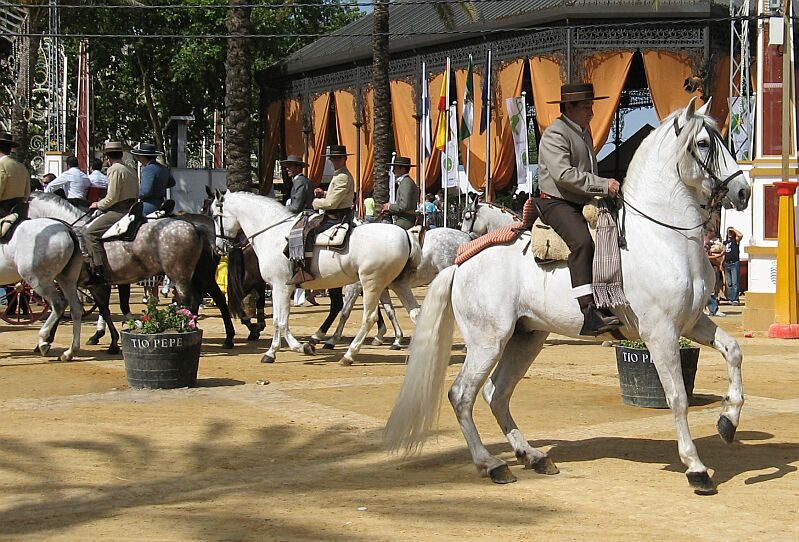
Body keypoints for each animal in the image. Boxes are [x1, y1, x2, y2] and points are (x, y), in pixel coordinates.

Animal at [0, 217, 83, 362]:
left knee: (58, 304)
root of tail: (66, 229)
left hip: (38, 279)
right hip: (67, 280)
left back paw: (43, 341)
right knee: (76, 309)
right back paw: (69, 352)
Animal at [212, 191, 424, 366]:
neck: (273, 235)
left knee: (368, 317)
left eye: (214, 216)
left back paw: (348, 354)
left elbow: (280, 321)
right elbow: (281, 320)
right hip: (395, 284)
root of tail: (405, 234)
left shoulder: (280, 286)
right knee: (414, 313)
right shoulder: (280, 287)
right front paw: (297, 347)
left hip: (371, 283)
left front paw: (281, 350)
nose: (218, 248)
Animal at [386, 99, 752, 498]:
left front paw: (728, 421)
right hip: (488, 341)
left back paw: (532, 456)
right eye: (702, 143)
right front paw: (696, 467)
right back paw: (492, 464)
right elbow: (678, 398)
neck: (663, 237)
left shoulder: (692, 322)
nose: (744, 191)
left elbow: (734, 351)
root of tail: (462, 260)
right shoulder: (661, 333)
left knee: (497, 394)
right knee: (462, 395)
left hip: (526, 339)